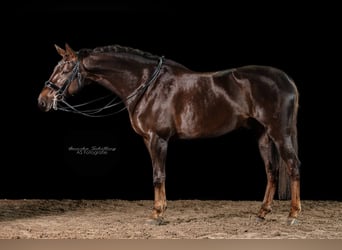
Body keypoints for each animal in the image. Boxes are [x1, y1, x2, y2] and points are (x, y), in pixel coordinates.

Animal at [37, 43, 300, 225]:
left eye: (65, 70)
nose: (42, 100)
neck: (147, 85)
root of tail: (286, 79)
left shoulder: (158, 139)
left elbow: (158, 175)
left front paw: (157, 214)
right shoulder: (148, 140)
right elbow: (158, 175)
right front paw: (160, 210)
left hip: (279, 133)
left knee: (292, 166)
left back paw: (293, 214)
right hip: (263, 136)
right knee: (272, 171)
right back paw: (262, 213)